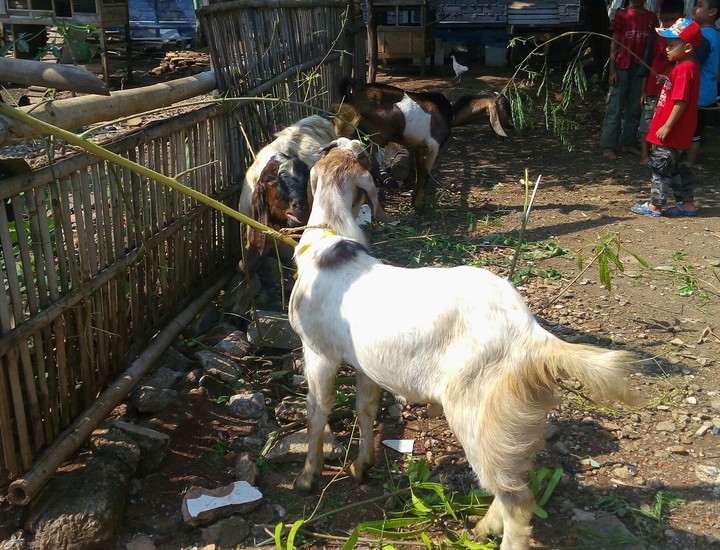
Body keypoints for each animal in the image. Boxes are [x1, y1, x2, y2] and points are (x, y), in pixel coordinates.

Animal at [288, 140, 636, 550]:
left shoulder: (318, 353)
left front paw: (307, 478)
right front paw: (362, 466)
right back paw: (484, 527)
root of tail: (531, 335)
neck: (329, 245)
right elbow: (365, 409)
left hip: (476, 408)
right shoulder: (365, 364)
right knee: (514, 476)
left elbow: (317, 413)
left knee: (517, 497)